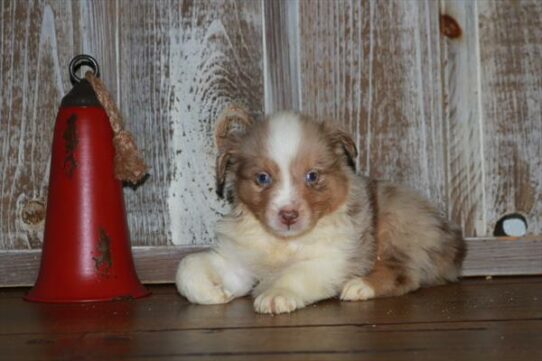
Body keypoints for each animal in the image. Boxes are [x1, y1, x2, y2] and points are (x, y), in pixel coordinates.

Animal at [175, 108, 468, 314]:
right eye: (262, 178)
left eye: (312, 176)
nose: (288, 215)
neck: (284, 242)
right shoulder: (238, 261)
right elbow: (185, 266)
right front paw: (213, 293)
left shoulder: (333, 259)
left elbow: (296, 272)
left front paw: (276, 294)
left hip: (396, 219)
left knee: (406, 274)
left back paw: (360, 286)